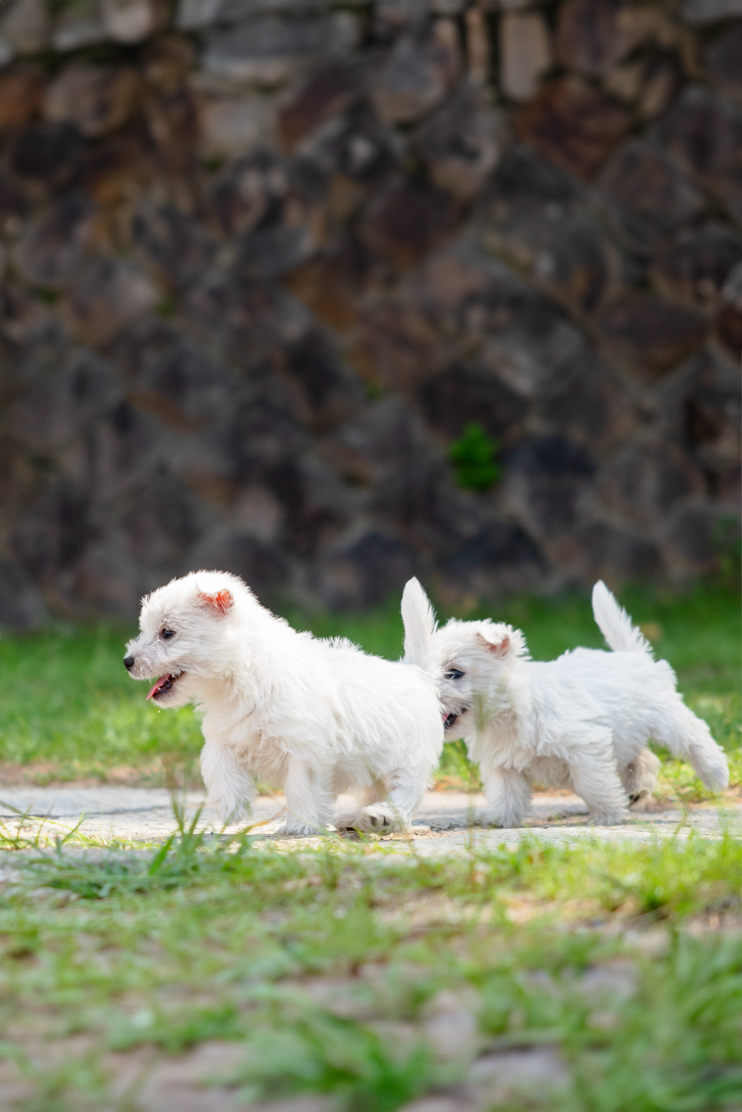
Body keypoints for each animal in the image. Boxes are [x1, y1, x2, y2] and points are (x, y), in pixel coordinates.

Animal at [124, 573, 444, 836]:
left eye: (167, 633)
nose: (127, 661)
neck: (240, 675)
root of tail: (416, 671)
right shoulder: (222, 738)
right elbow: (219, 769)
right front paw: (230, 809)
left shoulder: (304, 750)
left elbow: (302, 788)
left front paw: (301, 825)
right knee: (374, 791)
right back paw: (356, 819)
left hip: (409, 759)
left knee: (405, 793)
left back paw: (380, 817)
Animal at [402, 573, 729, 827]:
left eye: (454, 673)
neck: (507, 716)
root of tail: (634, 656)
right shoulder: (502, 765)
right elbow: (506, 794)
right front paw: (499, 819)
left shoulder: (585, 749)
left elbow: (592, 784)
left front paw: (607, 815)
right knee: (643, 758)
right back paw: (636, 788)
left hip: (667, 718)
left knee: (695, 736)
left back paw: (716, 775)